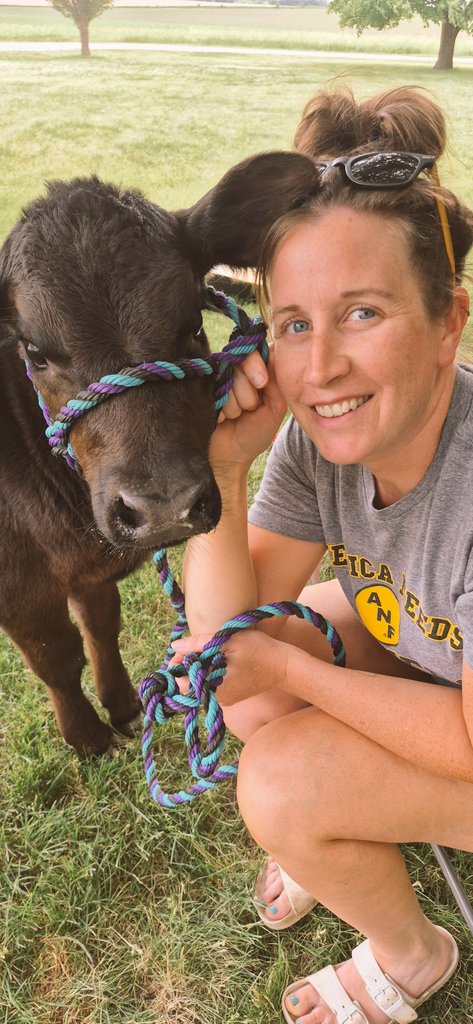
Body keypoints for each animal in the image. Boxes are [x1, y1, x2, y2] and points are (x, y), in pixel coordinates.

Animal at [0, 152, 319, 756]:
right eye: (34, 351)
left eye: (192, 323)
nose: (164, 507)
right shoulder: (19, 585)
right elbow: (57, 658)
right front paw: (88, 738)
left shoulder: (92, 573)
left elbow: (101, 625)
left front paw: (123, 705)